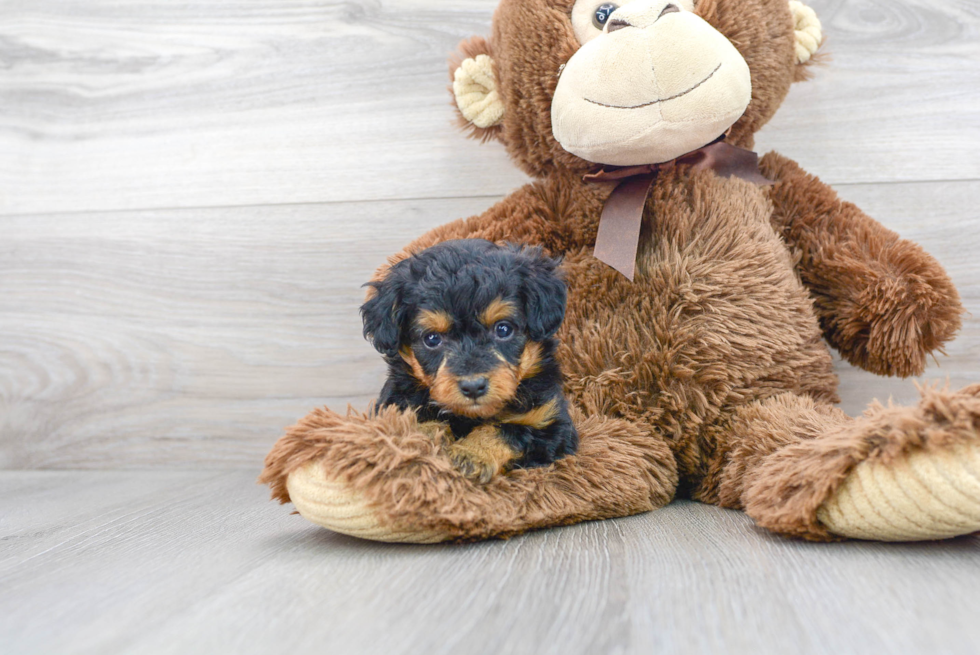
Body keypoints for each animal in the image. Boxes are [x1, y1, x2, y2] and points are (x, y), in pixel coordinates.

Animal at [358, 240, 576, 482]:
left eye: (503, 329)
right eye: (432, 339)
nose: (473, 387)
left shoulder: (551, 424)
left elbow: (509, 430)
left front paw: (471, 453)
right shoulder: (393, 407)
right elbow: (410, 425)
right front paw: (426, 439)